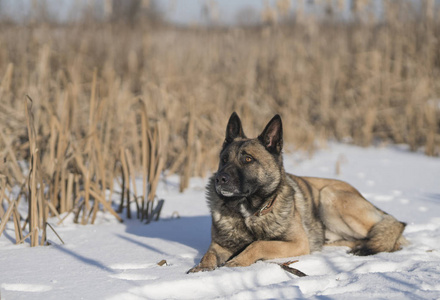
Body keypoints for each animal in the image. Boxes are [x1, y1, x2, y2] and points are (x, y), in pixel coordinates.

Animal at [187, 112, 408, 272]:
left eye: (247, 159)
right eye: (224, 159)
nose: (219, 179)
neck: (250, 212)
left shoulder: (297, 243)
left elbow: (259, 244)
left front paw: (238, 261)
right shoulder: (219, 245)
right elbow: (208, 254)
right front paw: (200, 269)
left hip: (329, 196)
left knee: (392, 237)